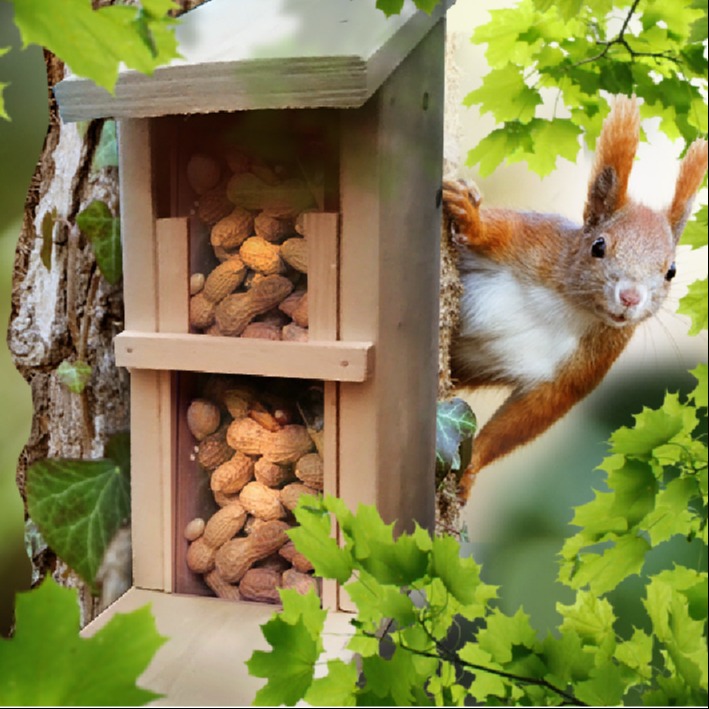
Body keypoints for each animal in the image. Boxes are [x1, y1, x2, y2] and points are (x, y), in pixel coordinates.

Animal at [443, 95, 708, 501]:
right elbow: (493, 229)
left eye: (671, 271)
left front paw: (471, 469)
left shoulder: (589, 363)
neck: (568, 305)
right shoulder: (532, 240)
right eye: (598, 246)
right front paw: (470, 216)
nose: (630, 297)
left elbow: (530, 416)